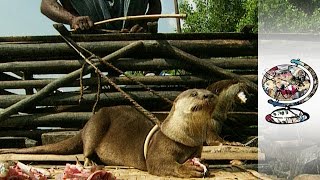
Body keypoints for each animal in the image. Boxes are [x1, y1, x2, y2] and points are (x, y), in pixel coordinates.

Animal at [0, 88, 218, 177]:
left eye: (209, 92)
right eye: (194, 93)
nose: (209, 95)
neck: (183, 138)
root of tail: (85, 126)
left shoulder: (196, 148)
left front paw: (203, 165)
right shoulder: (159, 147)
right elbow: (160, 164)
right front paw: (189, 169)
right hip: (96, 126)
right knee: (87, 149)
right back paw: (91, 163)